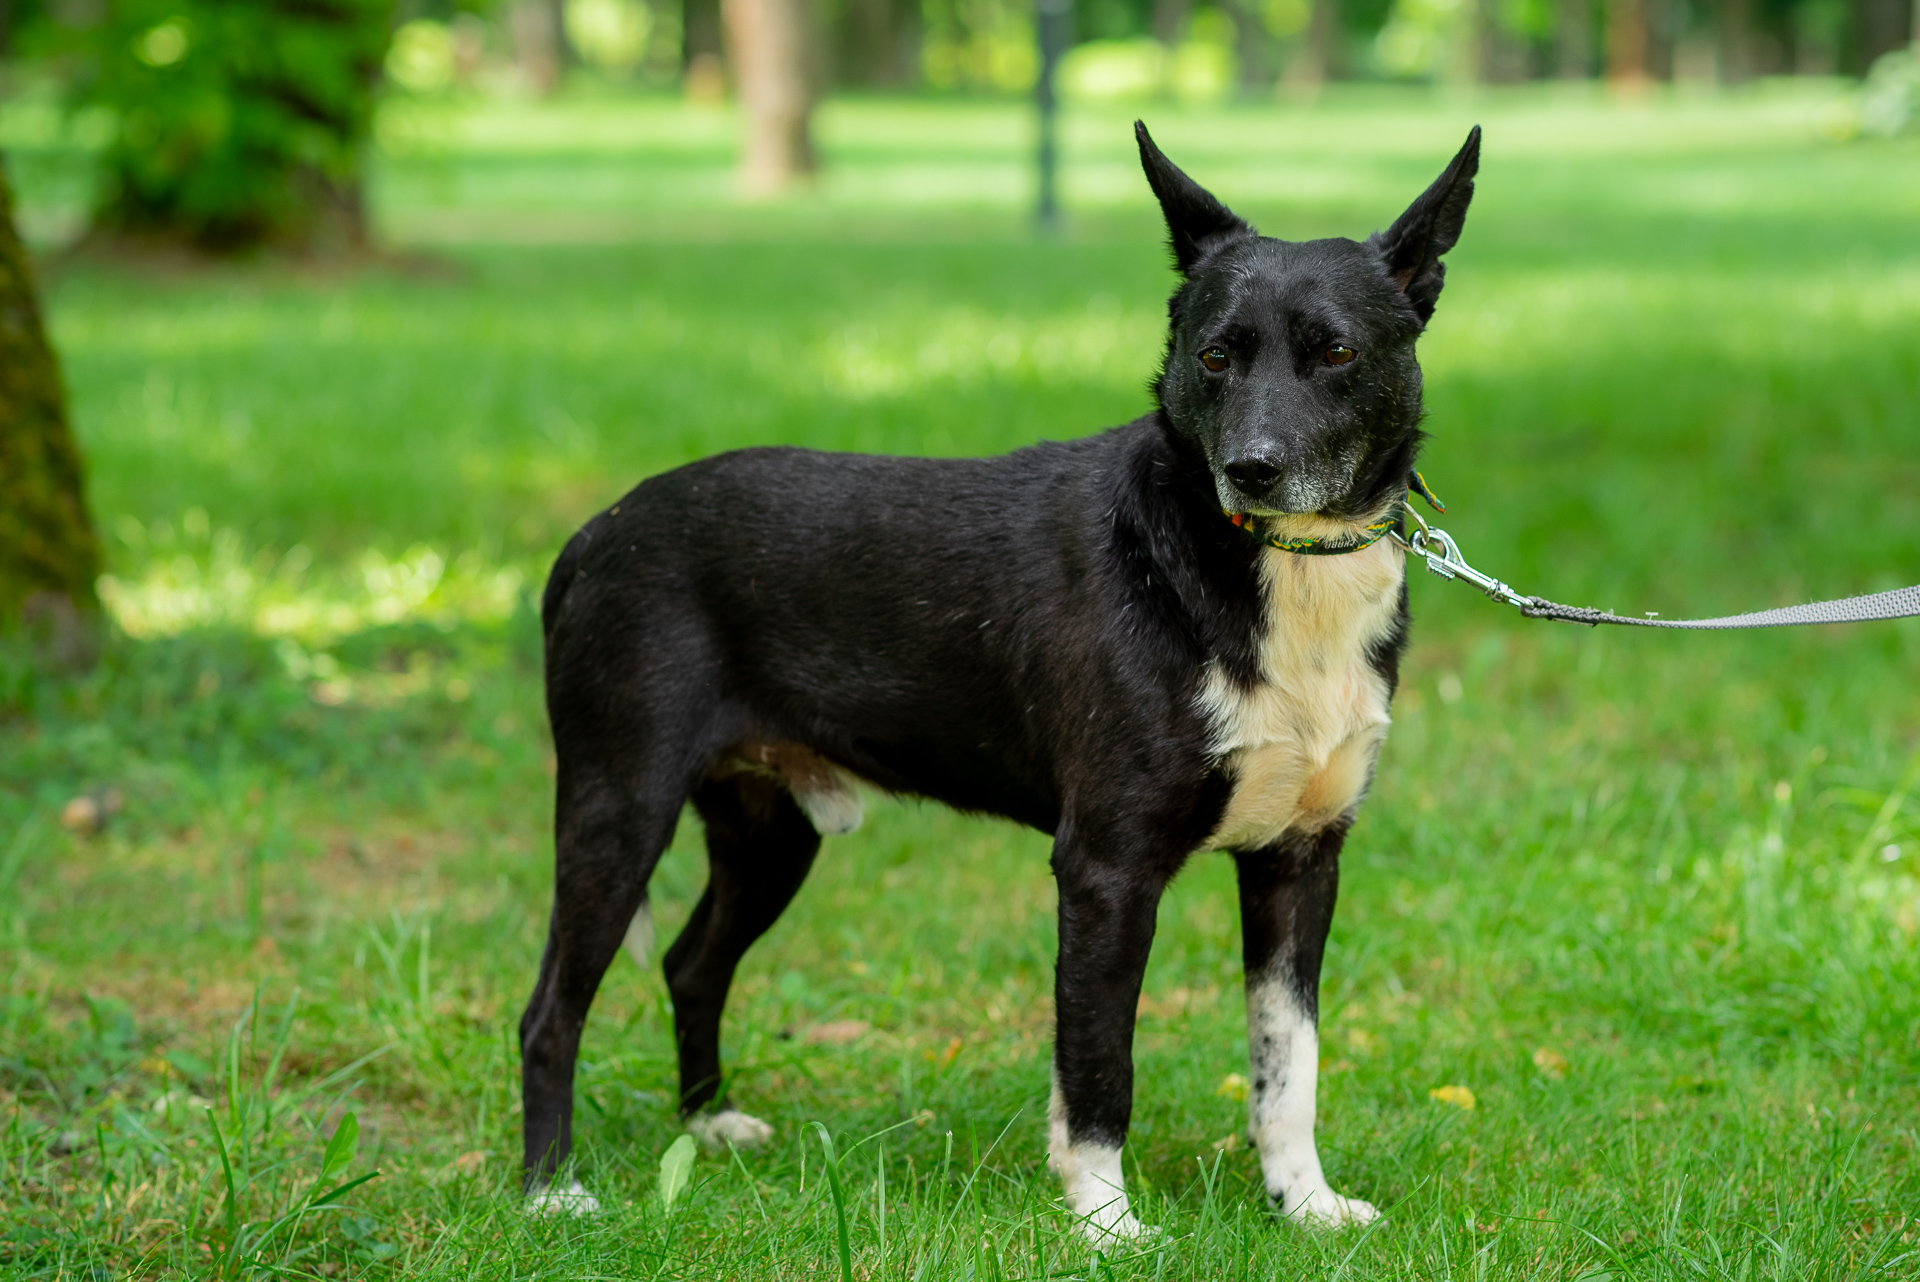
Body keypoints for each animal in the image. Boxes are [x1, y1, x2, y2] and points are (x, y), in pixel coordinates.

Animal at [522, 124, 1482, 1235]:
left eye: (1336, 352)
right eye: (1214, 355)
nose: (1252, 467)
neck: (1255, 574)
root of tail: (592, 537)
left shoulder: (1300, 859)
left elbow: (1289, 1063)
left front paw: (1304, 1203)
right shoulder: (1106, 868)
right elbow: (1098, 1063)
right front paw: (1106, 1224)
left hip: (770, 830)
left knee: (690, 961)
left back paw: (707, 1125)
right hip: (619, 808)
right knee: (549, 1010)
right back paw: (549, 1192)